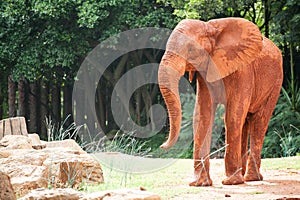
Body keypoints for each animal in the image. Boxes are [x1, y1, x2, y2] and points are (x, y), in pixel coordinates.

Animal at [158, 18, 282, 187]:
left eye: (190, 49)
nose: (162, 146)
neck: (211, 28)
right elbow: (202, 114)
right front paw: (200, 184)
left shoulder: (242, 70)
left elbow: (233, 115)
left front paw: (230, 182)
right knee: (245, 122)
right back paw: (243, 177)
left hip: (275, 82)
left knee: (259, 121)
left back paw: (250, 178)